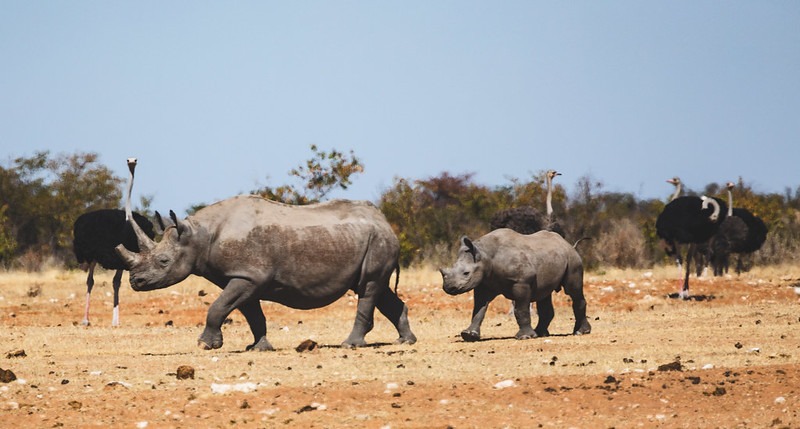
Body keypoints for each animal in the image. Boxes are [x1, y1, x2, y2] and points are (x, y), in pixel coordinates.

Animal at [116, 195, 416, 351]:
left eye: (163, 261)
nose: (135, 281)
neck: (199, 235)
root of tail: (386, 222)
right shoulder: (243, 276)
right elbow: (251, 314)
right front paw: (258, 347)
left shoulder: (248, 275)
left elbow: (218, 307)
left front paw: (205, 345)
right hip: (365, 239)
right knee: (377, 288)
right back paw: (405, 341)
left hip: (378, 241)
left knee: (368, 287)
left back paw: (350, 345)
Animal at [440, 229, 591, 341]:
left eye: (466, 273)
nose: (449, 288)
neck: (485, 255)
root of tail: (568, 244)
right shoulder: (484, 283)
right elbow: (479, 309)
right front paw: (468, 335)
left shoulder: (521, 282)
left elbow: (521, 309)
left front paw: (524, 337)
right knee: (544, 294)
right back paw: (540, 334)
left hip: (573, 259)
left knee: (573, 291)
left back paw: (581, 332)